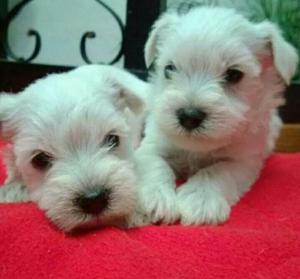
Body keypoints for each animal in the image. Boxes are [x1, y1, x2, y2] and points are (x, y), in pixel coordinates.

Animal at [135, 6, 298, 225]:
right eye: (169, 69)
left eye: (234, 74)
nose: (189, 116)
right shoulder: (153, 143)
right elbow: (153, 165)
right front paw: (155, 199)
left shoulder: (243, 160)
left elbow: (217, 172)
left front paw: (200, 202)